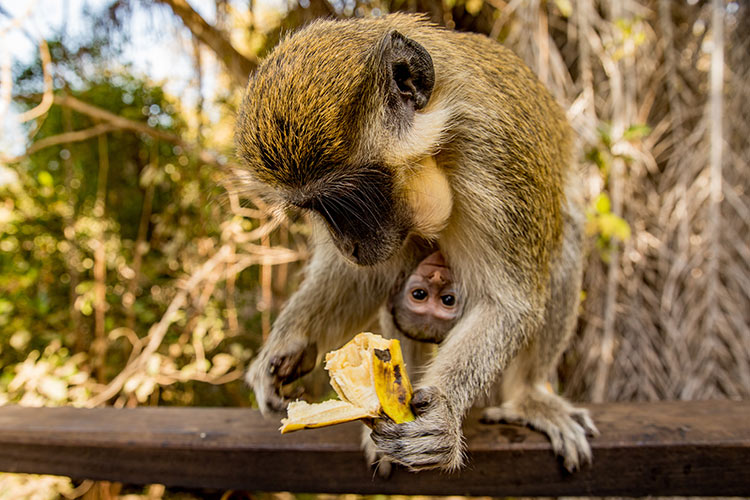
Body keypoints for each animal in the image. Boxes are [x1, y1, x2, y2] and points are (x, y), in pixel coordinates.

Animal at [236, 12, 600, 472]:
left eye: (343, 202)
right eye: (314, 208)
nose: (347, 246)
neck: (438, 145)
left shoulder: (495, 157)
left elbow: (508, 303)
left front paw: (442, 413)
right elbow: (360, 278)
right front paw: (285, 346)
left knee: (565, 236)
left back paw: (528, 395)